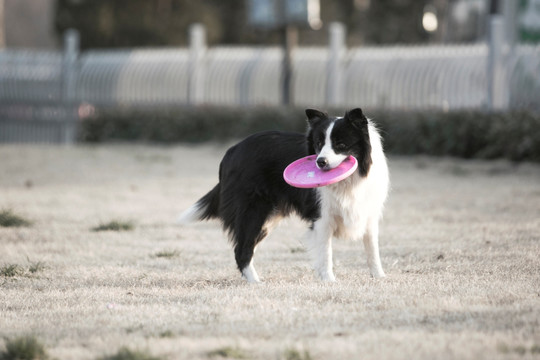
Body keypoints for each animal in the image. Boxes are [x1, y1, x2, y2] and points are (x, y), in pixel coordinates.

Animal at [180, 108, 388, 282]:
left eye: (341, 144)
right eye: (318, 144)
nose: (320, 162)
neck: (350, 180)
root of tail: (231, 152)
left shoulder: (369, 213)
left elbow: (372, 249)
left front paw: (379, 277)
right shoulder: (321, 216)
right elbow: (325, 252)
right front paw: (329, 280)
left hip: (268, 218)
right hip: (253, 211)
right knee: (242, 250)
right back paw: (256, 282)